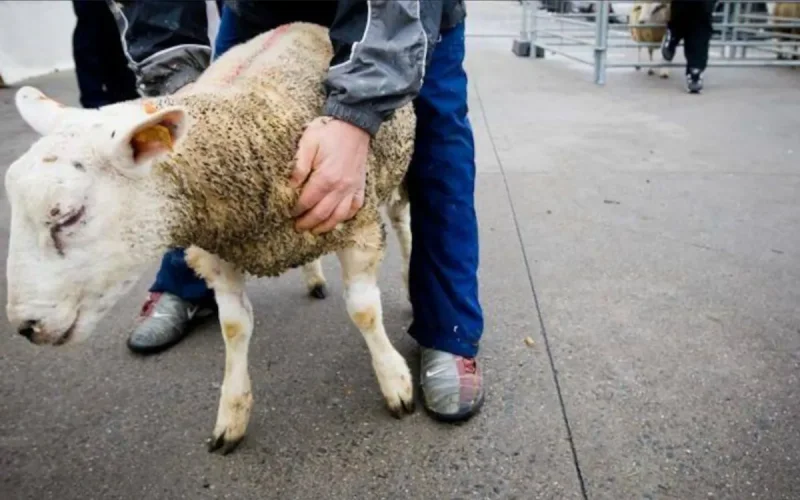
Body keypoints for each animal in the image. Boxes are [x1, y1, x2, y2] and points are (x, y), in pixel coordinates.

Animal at [4, 22, 417, 455]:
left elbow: (364, 312)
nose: (27, 326)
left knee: (402, 222)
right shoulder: (217, 252)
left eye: (67, 215)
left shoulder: (356, 221)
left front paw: (395, 382)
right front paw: (232, 415)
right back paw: (314, 276)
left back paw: (408, 280)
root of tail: (306, 23)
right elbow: (233, 327)